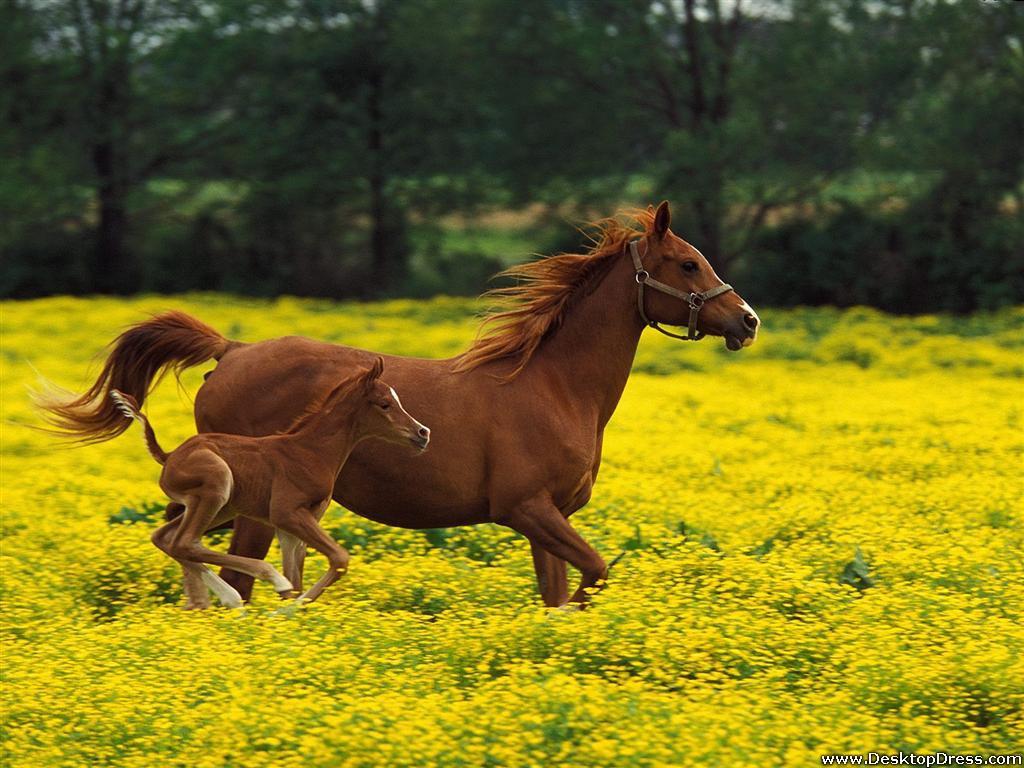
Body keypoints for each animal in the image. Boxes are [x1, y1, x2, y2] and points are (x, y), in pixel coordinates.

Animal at [108, 358, 430, 609]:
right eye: (385, 404)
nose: (422, 433)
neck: (311, 451)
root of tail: (169, 456)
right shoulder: (285, 513)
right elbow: (338, 558)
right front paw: (287, 608)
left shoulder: (293, 524)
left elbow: (299, 577)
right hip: (217, 484)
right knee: (184, 541)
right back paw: (259, 584)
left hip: (222, 507)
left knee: (168, 538)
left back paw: (228, 598)